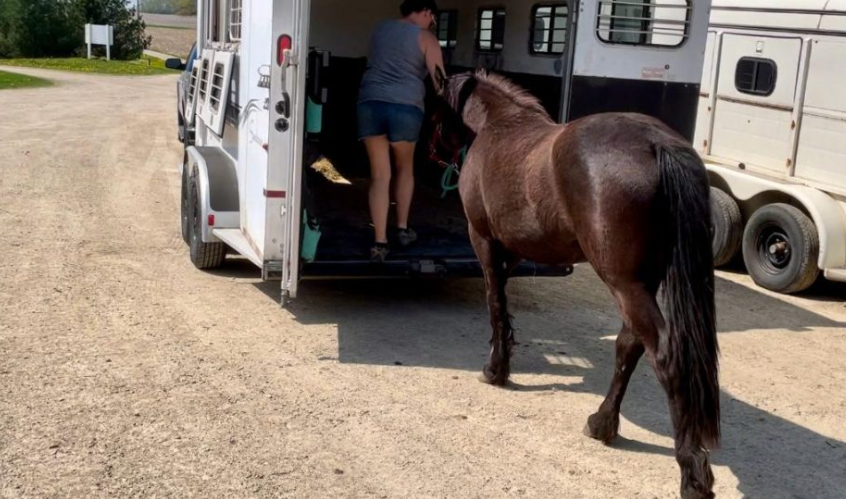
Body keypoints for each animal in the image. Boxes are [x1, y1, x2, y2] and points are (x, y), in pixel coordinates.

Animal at [430, 71, 720, 499]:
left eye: (433, 106)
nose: (432, 151)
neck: (499, 125)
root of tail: (658, 144)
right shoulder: (515, 250)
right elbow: (505, 301)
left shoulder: (482, 239)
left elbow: (495, 302)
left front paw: (495, 370)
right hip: (640, 283)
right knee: (629, 346)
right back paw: (602, 424)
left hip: (625, 284)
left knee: (663, 356)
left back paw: (691, 473)